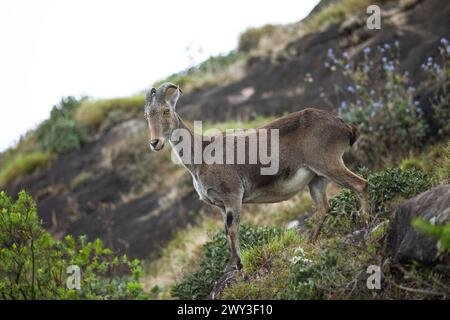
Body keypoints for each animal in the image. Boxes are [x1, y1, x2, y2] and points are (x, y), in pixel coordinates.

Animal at [145, 82, 370, 270]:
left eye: (166, 110)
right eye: (147, 115)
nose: (155, 142)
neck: (201, 155)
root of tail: (343, 125)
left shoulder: (233, 195)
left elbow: (232, 229)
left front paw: (237, 266)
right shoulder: (220, 205)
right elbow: (226, 230)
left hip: (329, 164)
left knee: (361, 185)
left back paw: (366, 222)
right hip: (316, 178)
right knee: (323, 208)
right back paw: (309, 242)